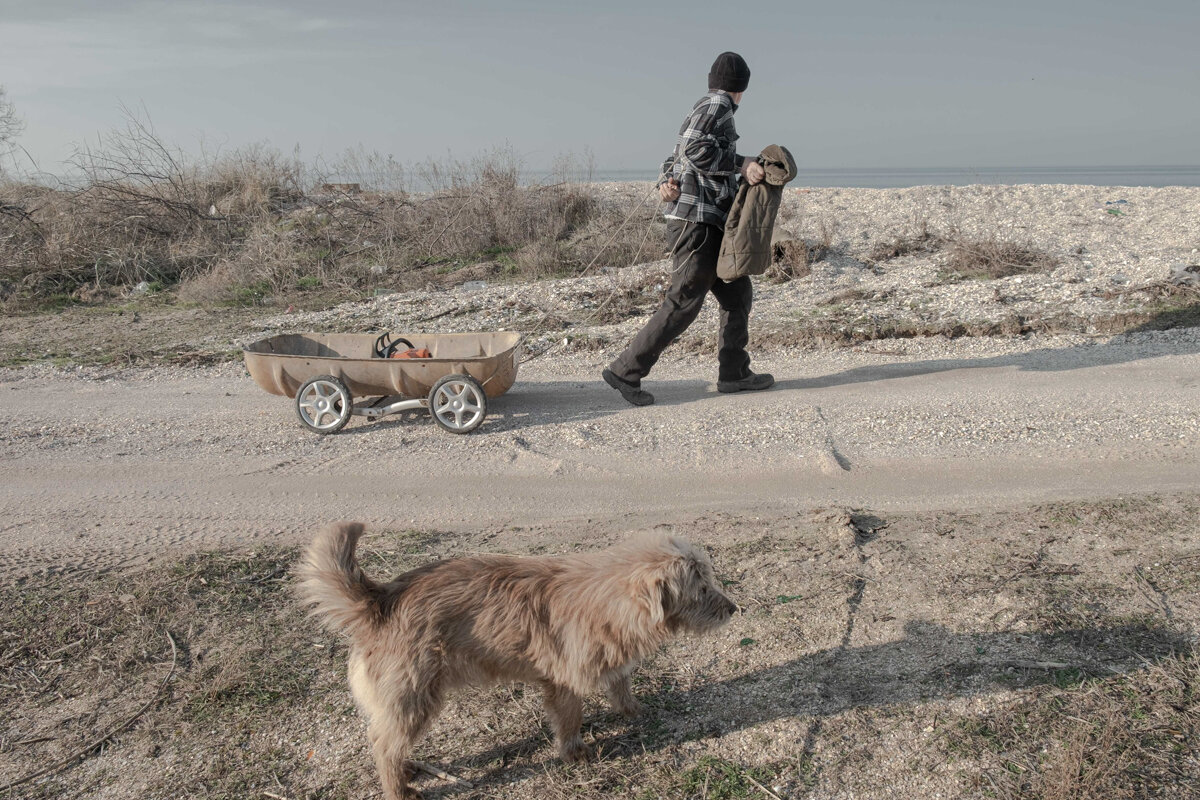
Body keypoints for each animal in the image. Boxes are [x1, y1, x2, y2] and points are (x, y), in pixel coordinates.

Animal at [295, 525, 734, 800]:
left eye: (709, 579)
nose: (735, 609)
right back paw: (398, 788)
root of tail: (379, 600)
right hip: (414, 699)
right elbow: (570, 720)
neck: (605, 598)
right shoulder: (564, 683)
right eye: (700, 588)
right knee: (383, 744)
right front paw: (574, 753)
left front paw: (633, 710)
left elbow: (620, 685)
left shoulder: (609, 661)